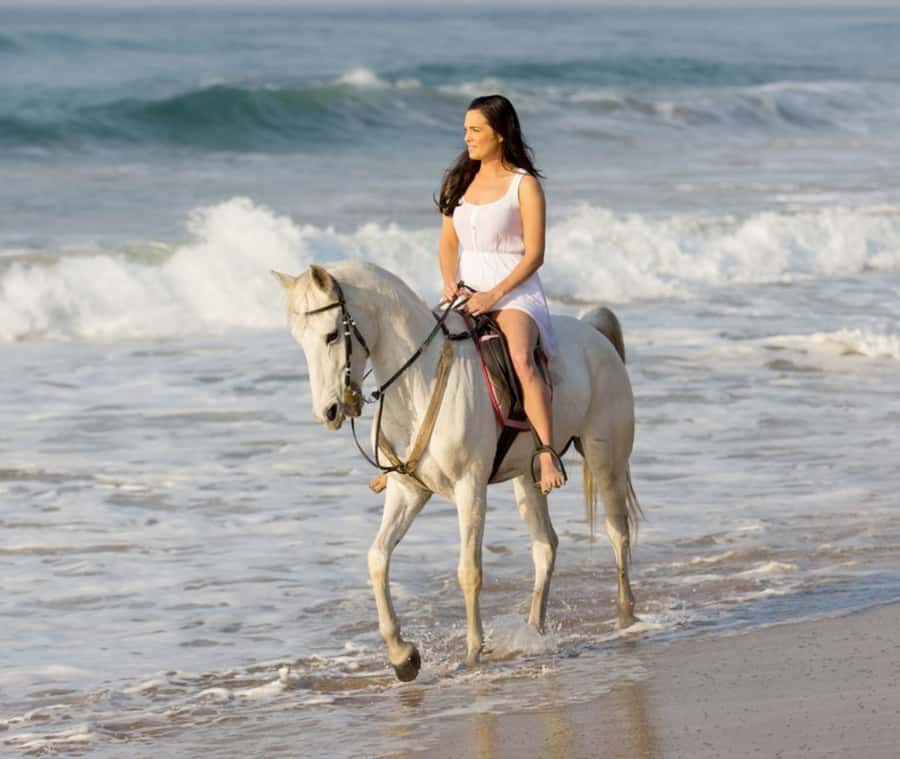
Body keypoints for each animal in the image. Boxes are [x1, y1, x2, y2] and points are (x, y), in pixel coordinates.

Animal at [273, 260, 640, 682]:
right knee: (545, 546)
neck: (419, 381)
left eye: (332, 335)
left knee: (617, 533)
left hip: (605, 459)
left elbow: (469, 572)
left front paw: (471, 655)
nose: (329, 412)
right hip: (527, 479)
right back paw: (533, 632)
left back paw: (626, 619)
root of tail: (594, 334)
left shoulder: (470, 488)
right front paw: (403, 656)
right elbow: (377, 558)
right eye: (300, 341)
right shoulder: (407, 492)